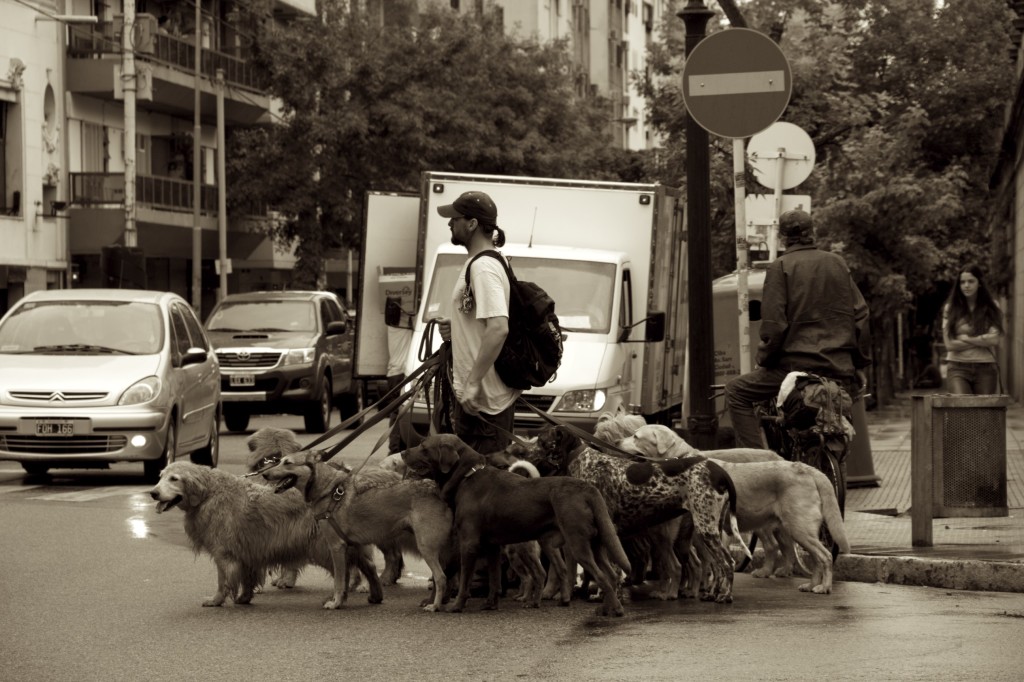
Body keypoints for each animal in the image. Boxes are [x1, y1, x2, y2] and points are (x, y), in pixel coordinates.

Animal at [149, 458, 378, 606]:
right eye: (160, 477)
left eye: (174, 479)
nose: (153, 492)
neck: (209, 493)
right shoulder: (247, 552)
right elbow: (247, 579)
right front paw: (244, 598)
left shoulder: (224, 553)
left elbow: (223, 581)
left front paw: (216, 600)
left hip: (326, 545)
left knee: (349, 569)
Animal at [262, 450, 454, 610]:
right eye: (279, 461)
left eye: (288, 463)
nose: (264, 474)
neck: (328, 491)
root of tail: (435, 490)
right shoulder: (355, 546)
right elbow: (363, 571)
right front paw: (368, 596)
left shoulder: (336, 547)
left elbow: (339, 581)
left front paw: (336, 602)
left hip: (425, 546)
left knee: (441, 577)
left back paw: (434, 606)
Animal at [401, 436, 630, 614]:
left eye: (424, 446)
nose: (403, 452)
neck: (468, 475)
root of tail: (587, 488)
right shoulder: (491, 545)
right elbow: (494, 579)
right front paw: (491, 604)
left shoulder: (469, 543)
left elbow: (465, 579)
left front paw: (456, 606)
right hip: (595, 543)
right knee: (610, 575)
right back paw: (604, 607)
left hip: (578, 544)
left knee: (602, 576)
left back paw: (615, 610)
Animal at [536, 421, 745, 602]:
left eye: (542, 437)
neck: (583, 461)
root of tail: (719, 471)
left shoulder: (608, 529)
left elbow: (613, 570)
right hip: (704, 530)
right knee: (718, 565)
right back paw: (713, 593)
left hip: (703, 529)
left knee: (727, 563)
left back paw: (725, 596)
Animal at [614, 421, 847, 593]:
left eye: (635, 436)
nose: (616, 440)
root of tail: (806, 468)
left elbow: (712, 563)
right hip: (790, 527)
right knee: (809, 556)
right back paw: (810, 584)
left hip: (798, 527)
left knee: (824, 556)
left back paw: (824, 587)